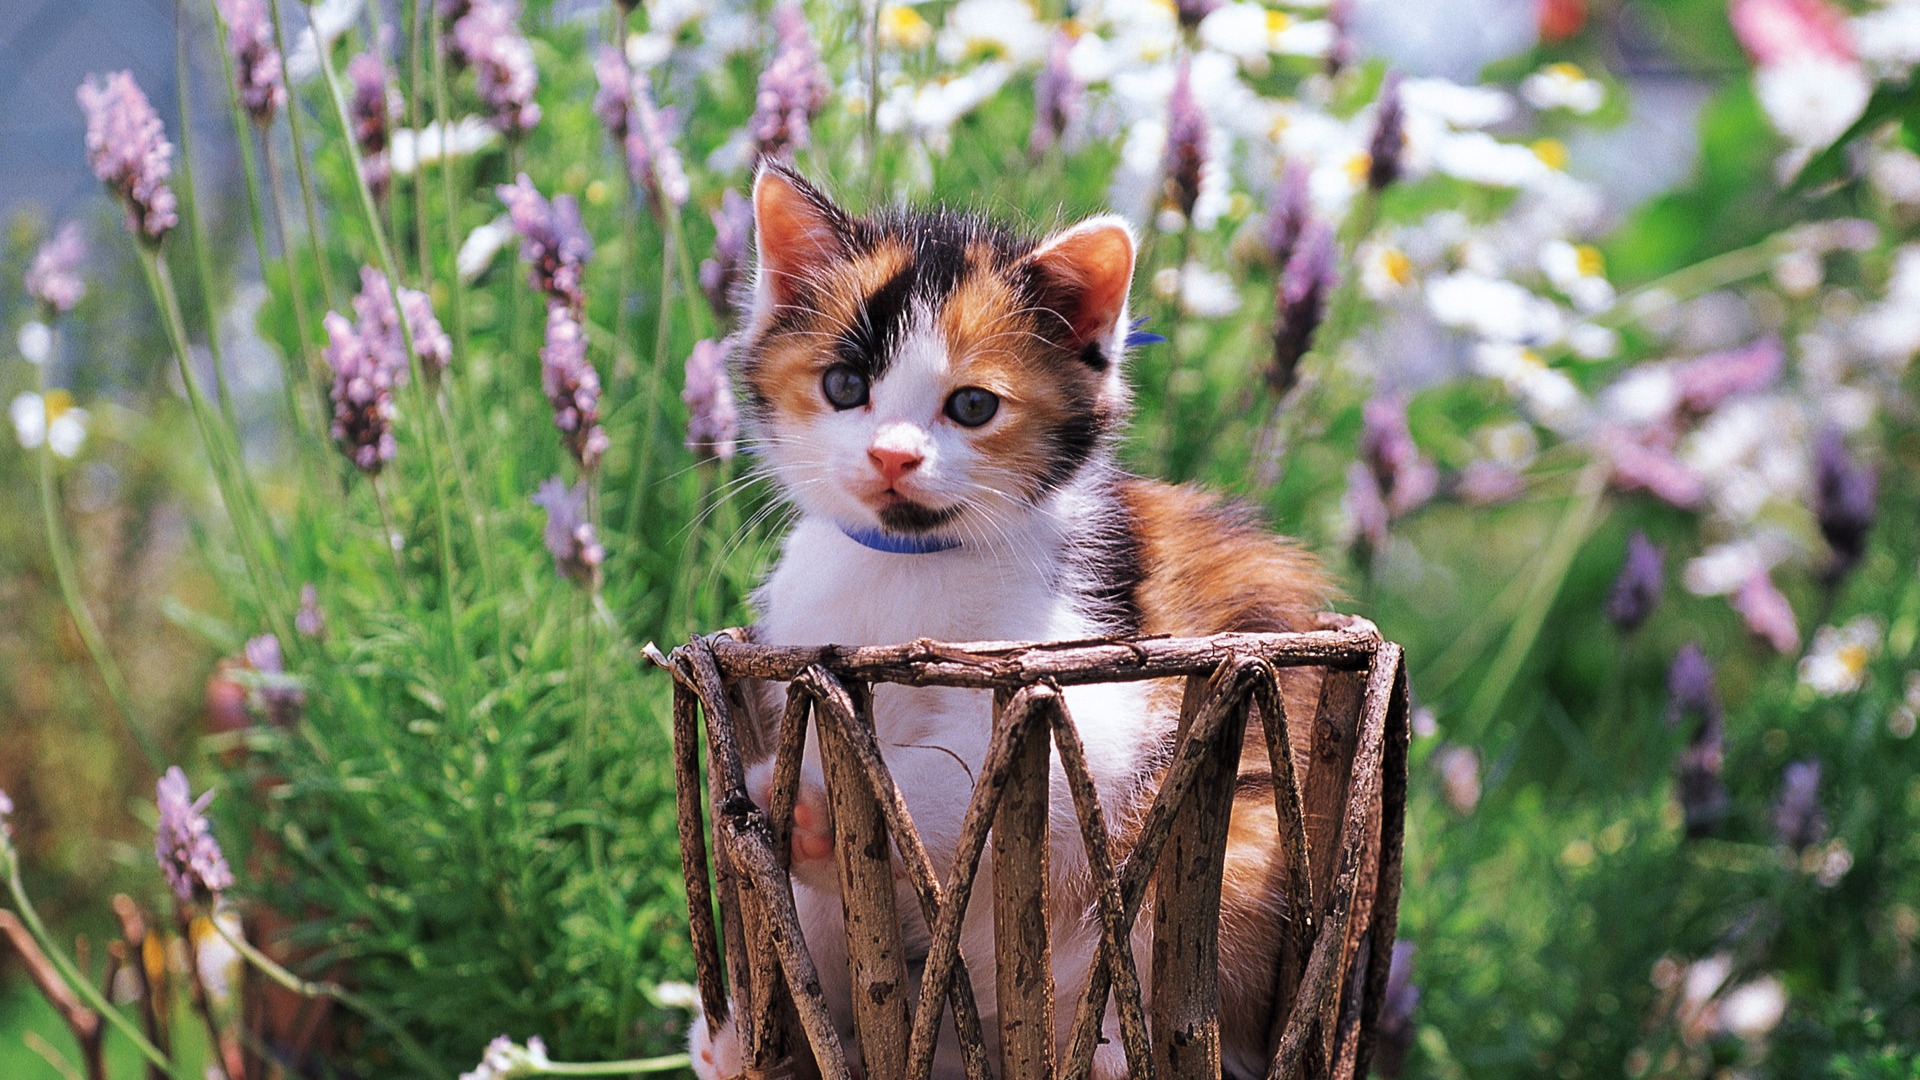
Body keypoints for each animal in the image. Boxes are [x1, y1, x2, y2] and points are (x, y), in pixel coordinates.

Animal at [691, 166, 1336, 1076]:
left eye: (972, 405)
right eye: (845, 386)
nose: (893, 455)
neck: (909, 567)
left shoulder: (1094, 682)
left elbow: (950, 776)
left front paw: (815, 808)